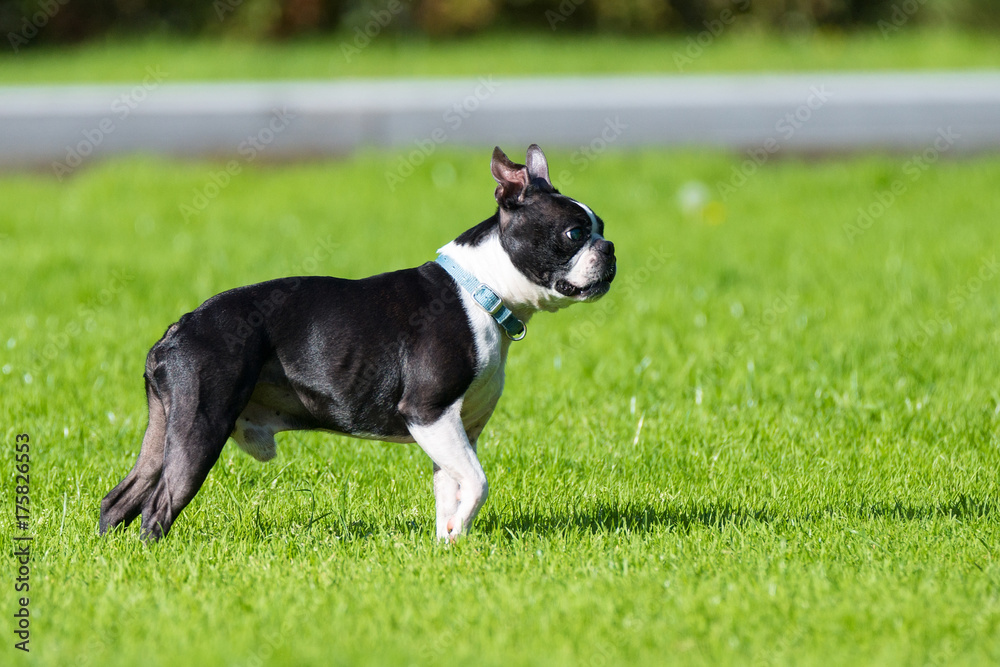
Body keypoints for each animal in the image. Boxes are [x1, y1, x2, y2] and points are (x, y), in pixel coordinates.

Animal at [101, 146, 616, 544]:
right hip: (201, 426)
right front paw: (458, 532)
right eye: (574, 233)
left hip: (166, 427)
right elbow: (477, 481)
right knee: (158, 505)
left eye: (602, 228)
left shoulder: (456, 430)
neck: (482, 291)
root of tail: (178, 329)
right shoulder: (430, 414)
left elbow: (450, 489)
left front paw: (448, 542)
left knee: (121, 498)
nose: (610, 248)